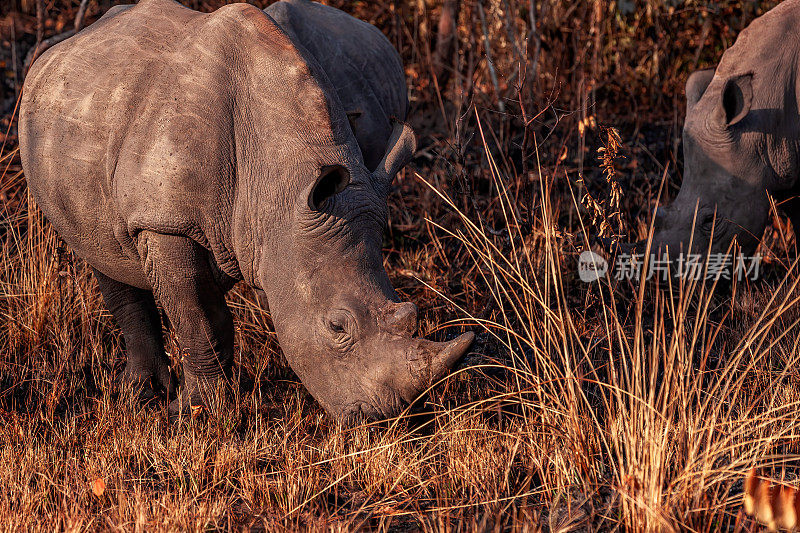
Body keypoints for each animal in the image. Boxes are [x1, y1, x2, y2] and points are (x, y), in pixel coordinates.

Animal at [18, 0, 472, 418]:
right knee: (102, 254)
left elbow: (211, 313)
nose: (384, 417)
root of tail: (66, 46)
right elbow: (199, 317)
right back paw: (140, 397)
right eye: (336, 326)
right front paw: (197, 414)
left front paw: (208, 405)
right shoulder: (165, 223)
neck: (281, 187)